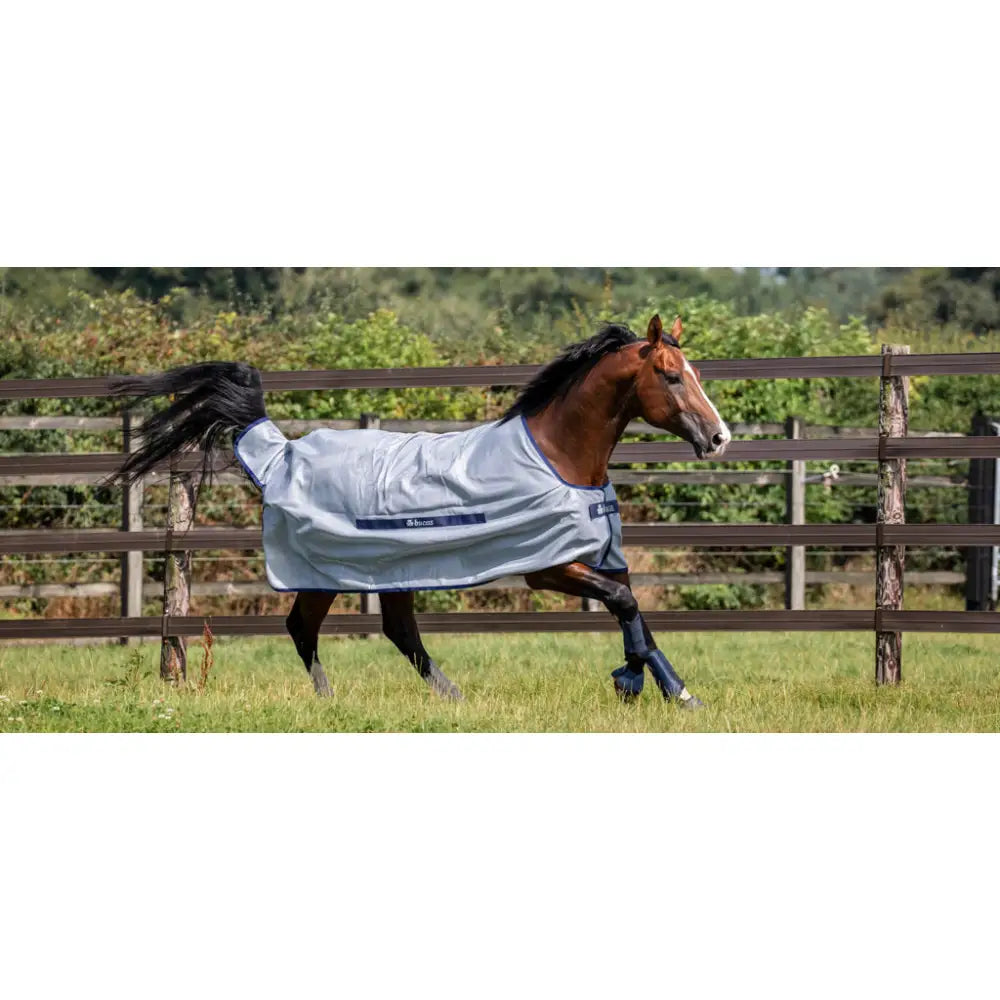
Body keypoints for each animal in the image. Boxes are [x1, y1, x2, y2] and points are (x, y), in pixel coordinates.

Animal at [110, 314, 730, 708]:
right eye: (670, 376)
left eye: (697, 374)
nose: (719, 438)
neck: (559, 458)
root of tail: (281, 452)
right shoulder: (551, 567)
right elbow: (626, 606)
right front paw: (644, 686)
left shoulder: (604, 558)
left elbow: (636, 616)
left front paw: (670, 690)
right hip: (326, 572)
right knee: (303, 626)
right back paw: (331, 699)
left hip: (393, 572)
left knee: (398, 630)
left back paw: (451, 696)